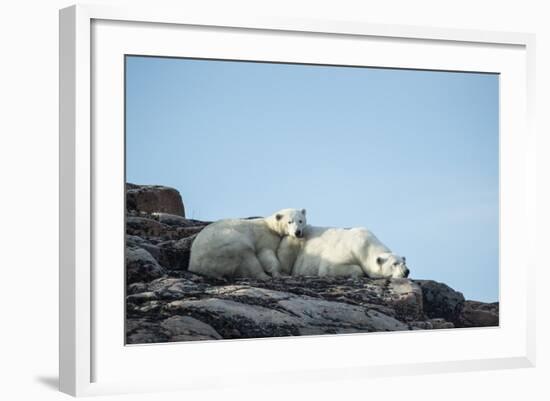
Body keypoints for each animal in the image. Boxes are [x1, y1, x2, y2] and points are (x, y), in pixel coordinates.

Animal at [280, 225, 410, 278]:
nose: (406, 271)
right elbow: (329, 267)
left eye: (404, 263)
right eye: (394, 264)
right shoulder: (346, 250)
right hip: (295, 240)